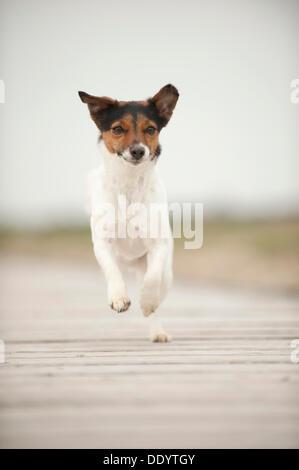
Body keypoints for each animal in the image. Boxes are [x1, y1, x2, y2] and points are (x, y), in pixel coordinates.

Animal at [78, 84, 179, 342]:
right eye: (117, 129)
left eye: (151, 129)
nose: (137, 151)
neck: (129, 183)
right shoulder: (102, 242)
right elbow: (112, 270)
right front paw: (118, 298)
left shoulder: (158, 244)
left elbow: (152, 279)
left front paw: (147, 301)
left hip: (166, 271)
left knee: (159, 284)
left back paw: (157, 329)